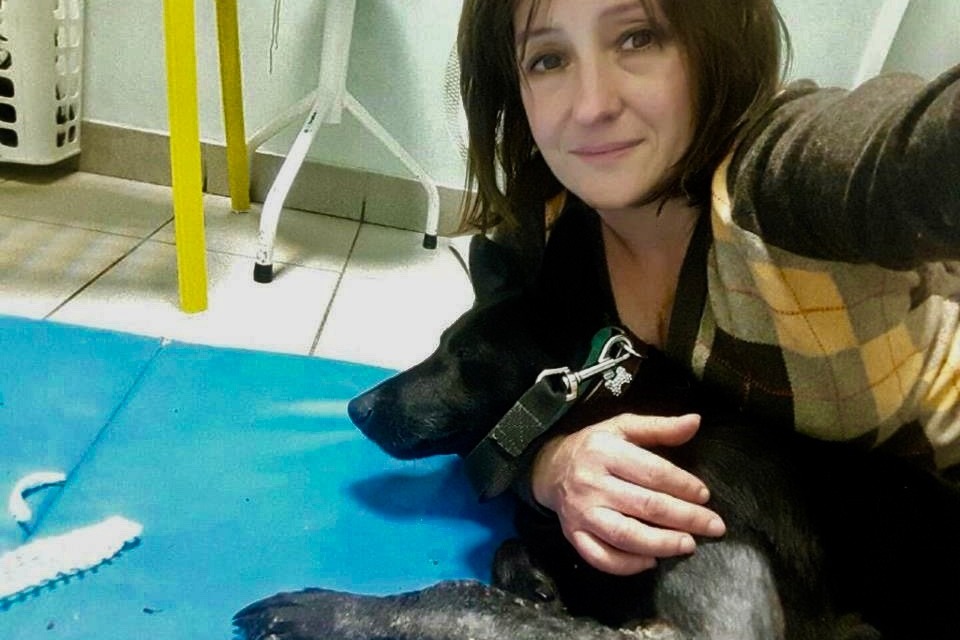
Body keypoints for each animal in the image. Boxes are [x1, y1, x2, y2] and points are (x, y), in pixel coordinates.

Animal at [234, 209, 960, 640]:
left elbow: (464, 596)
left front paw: (333, 610)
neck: (599, 402)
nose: (355, 407)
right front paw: (539, 581)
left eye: (464, 359)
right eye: (440, 344)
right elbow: (511, 554)